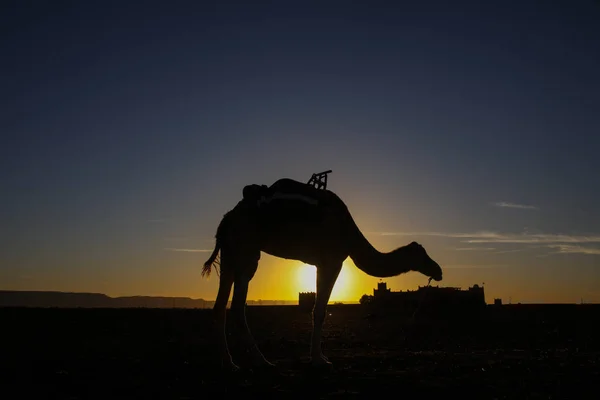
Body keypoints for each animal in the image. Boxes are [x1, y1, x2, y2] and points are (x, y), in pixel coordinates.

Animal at [202, 177, 440, 370]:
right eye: (422, 254)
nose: (438, 270)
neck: (349, 234)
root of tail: (226, 219)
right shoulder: (332, 261)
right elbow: (320, 310)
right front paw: (319, 360)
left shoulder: (319, 263)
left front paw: (319, 357)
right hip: (247, 252)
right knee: (237, 306)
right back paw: (261, 361)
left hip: (229, 254)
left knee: (220, 305)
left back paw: (229, 362)